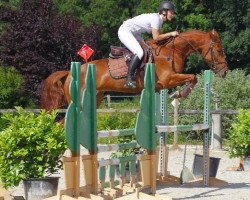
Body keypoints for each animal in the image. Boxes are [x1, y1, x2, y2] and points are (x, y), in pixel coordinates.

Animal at [41, 29, 229, 110]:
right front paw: (179, 94)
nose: (224, 72)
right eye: (219, 50)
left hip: (96, 98)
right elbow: (193, 77)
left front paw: (178, 94)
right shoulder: (168, 79)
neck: (171, 51)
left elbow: (193, 77)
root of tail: (69, 72)